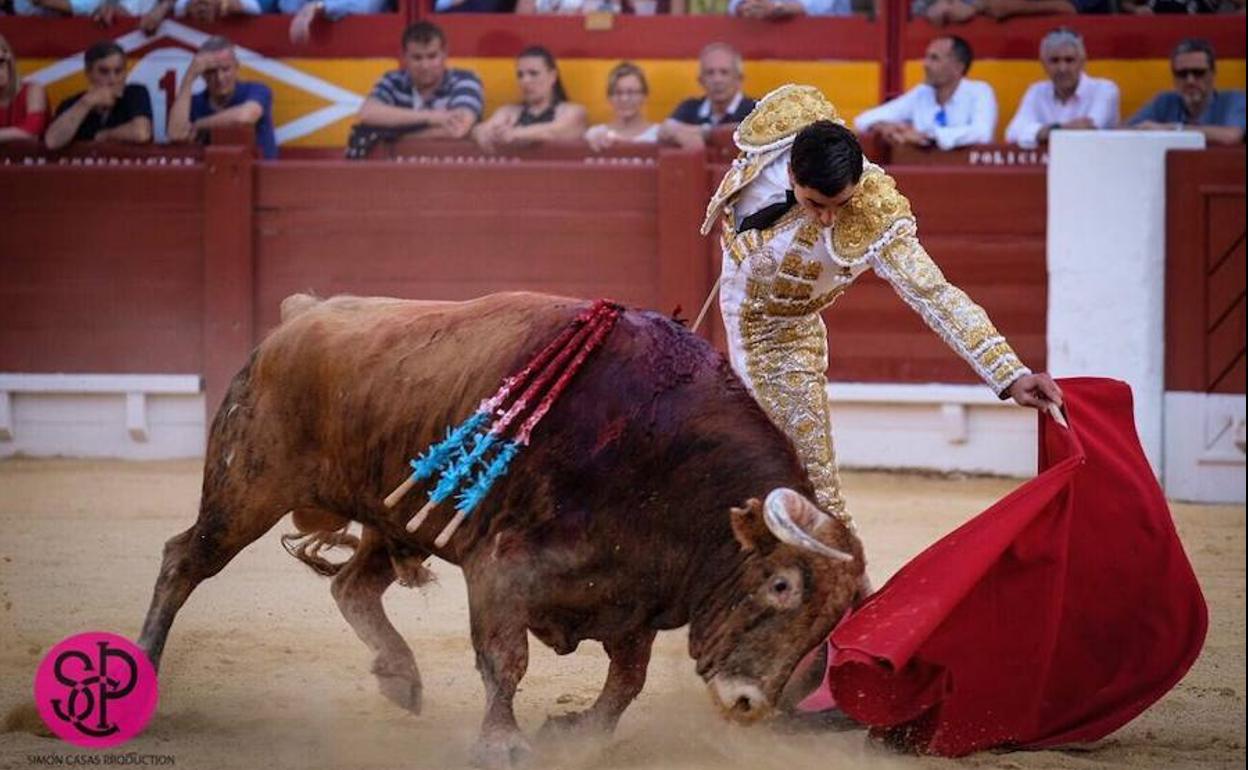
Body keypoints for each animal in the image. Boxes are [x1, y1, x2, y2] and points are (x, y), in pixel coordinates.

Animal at [134, 290, 858, 763]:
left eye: (830, 621)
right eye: (781, 587)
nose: (748, 703)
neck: (662, 457)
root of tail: (299, 316)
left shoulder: (633, 590)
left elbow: (627, 679)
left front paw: (576, 732)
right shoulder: (503, 565)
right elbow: (505, 658)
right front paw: (503, 744)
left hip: (396, 513)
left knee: (352, 586)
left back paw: (401, 677)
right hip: (247, 488)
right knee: (182, 559)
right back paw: (144, 668)